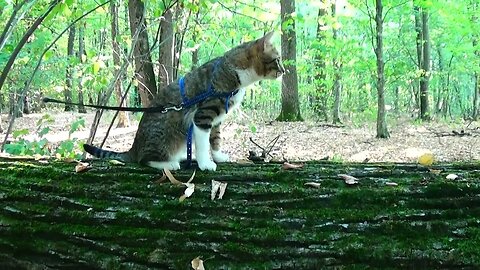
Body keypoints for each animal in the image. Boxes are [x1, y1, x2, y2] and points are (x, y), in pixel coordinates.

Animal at [83, 31, 284, 171]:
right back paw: (168, 163)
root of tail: (134, 147)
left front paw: (218, 157)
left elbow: (216, 139)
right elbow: (203, 143)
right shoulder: (203, 115)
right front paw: (205, 164)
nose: (284, 70)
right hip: (166, 132)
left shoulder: (216, 119)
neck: (234, 71)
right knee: (144, 159)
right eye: (277, 60)